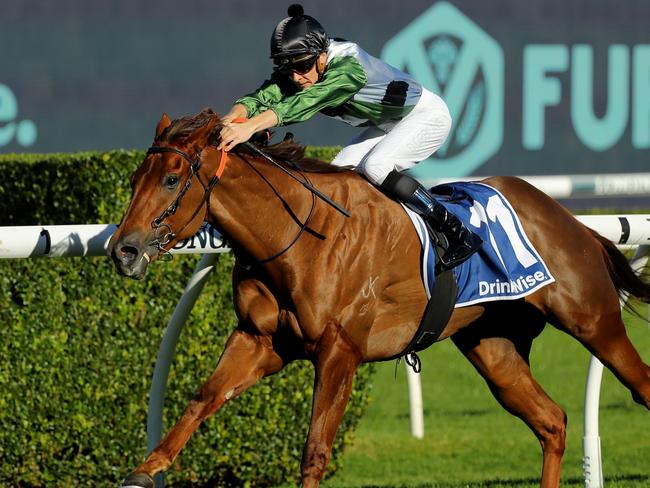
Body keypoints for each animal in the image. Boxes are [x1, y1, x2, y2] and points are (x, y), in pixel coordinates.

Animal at [109, 109, 644, 488]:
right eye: (134, 180)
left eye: (171, 179)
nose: (123, 250)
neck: (301, 235)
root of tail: (565, 217)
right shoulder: (259, 341)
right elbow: (201, 400)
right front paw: (144, 470)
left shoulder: (339, 351)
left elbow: (315, 451)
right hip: (494, 349)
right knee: (551, 422)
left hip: (592, 320)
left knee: (639, 384)